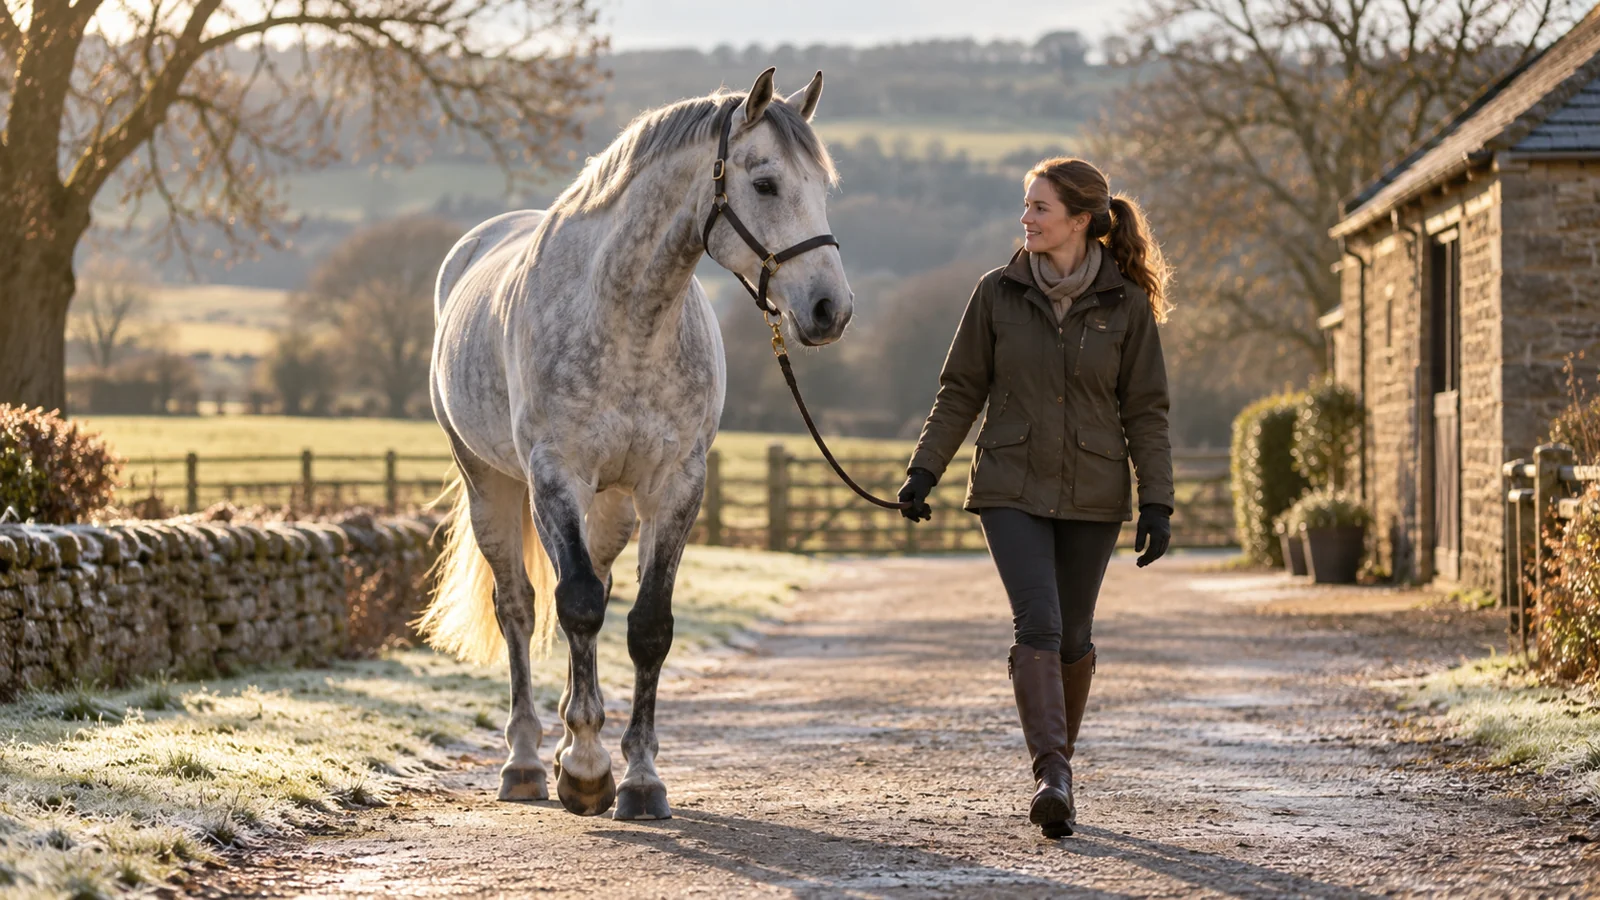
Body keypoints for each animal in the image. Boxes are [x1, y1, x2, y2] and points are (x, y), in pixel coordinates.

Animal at [420, 68, 852, 821]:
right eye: (766, 183)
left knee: (589, 590)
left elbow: (647, 624)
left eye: (822, 187)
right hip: (490, 486)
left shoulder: (674, 487)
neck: (629, 320)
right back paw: (528, 762)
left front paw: (639, 778)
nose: (832, 309)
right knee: (521, 607)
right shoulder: (556, 476)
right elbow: (576, 605)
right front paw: (587, 772)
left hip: (612, 507)